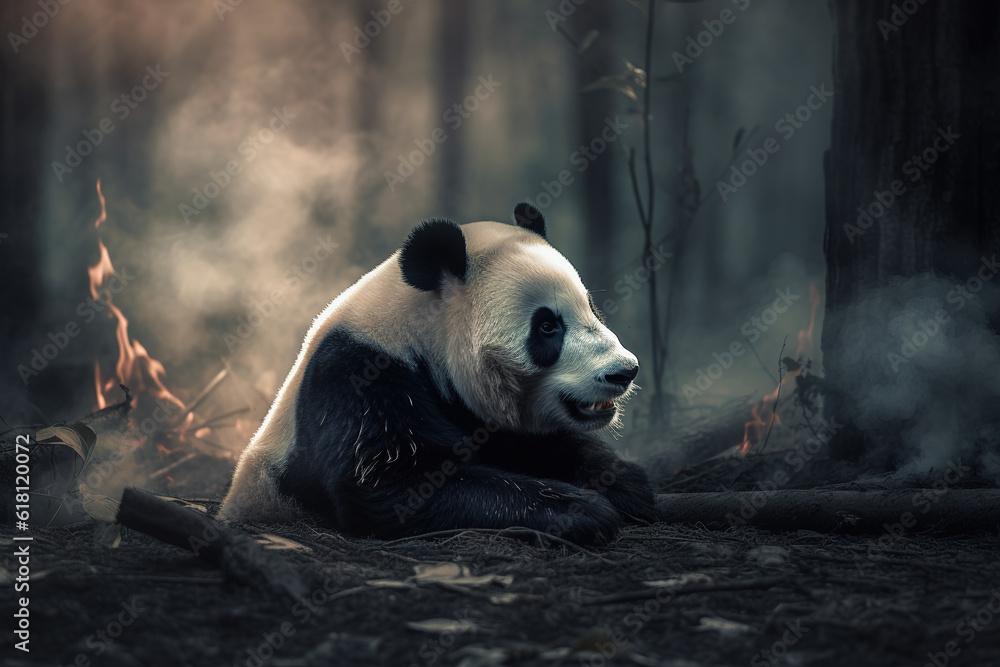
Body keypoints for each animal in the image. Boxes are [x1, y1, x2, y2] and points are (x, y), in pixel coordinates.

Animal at [218, 203, 656, 545]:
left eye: (591, 308)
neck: (417, 330)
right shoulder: (357, 375)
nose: (624, 372)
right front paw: (584, 510)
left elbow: (533, 442)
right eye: (547, 327)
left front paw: (624, 482)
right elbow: (396, 483)